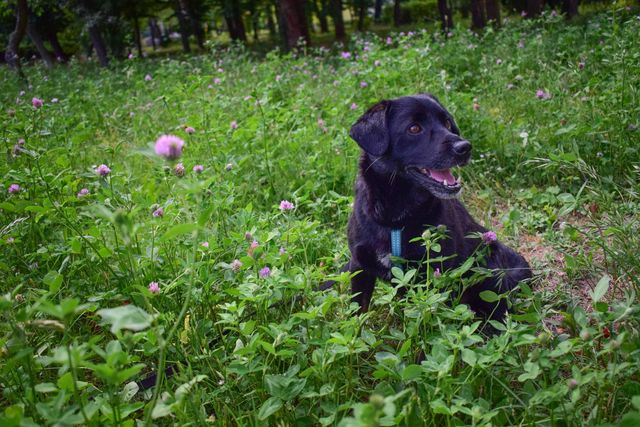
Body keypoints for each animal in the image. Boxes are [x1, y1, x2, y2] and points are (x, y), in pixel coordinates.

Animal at [340, 94, 528, 320]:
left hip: (488, 271)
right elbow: (357, 311)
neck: (395, 216)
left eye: (447, 123)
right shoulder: (359, 266)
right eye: (414, 128)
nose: (465, 147)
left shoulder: (435, 269)